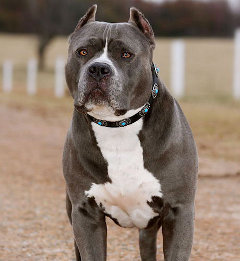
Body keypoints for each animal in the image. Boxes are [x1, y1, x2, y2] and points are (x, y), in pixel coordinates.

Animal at [62, 4, 198, 260]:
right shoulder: (85, 214)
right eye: (83, 52)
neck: (118, 126)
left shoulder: (179, 211)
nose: (98, 69)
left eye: (126, 54)